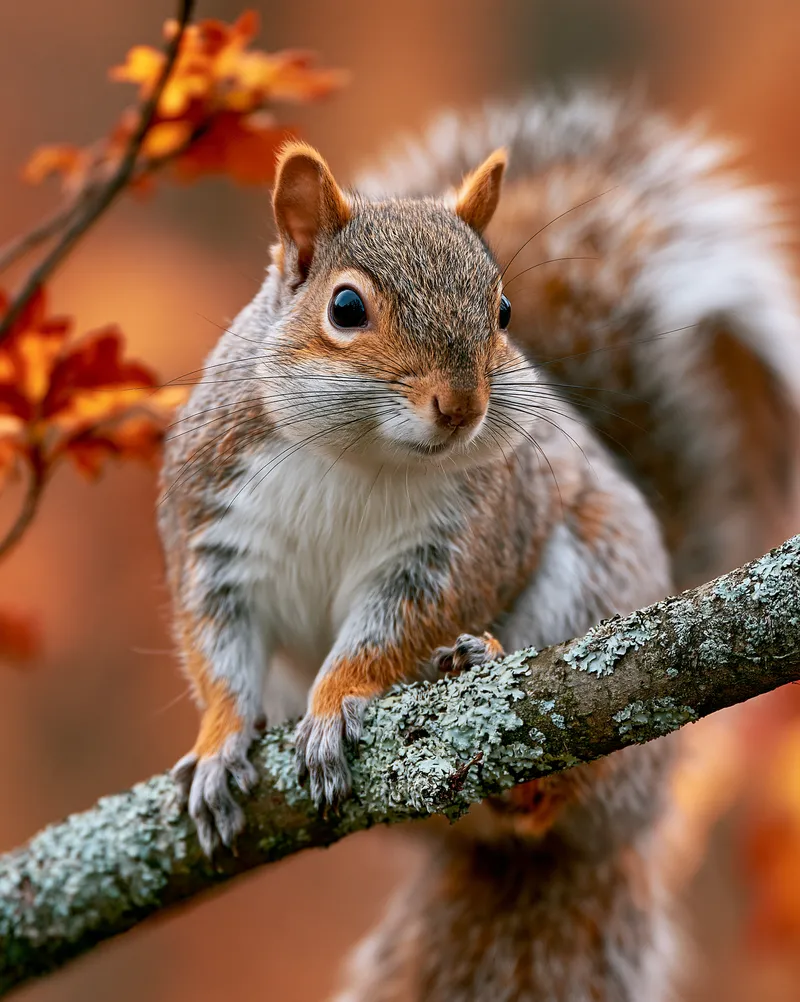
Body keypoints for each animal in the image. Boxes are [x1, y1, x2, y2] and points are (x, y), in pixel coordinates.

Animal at [158, 89, 800, 1001]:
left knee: (560, 791)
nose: (461, 406)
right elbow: (214, 644)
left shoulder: (465, 537)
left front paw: (337, 701)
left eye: (502, 313)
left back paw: (489, 692)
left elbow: (403, 625)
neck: (357, 454)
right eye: (345, 308)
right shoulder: (212, 528)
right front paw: (217, 744)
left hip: (591, 588)